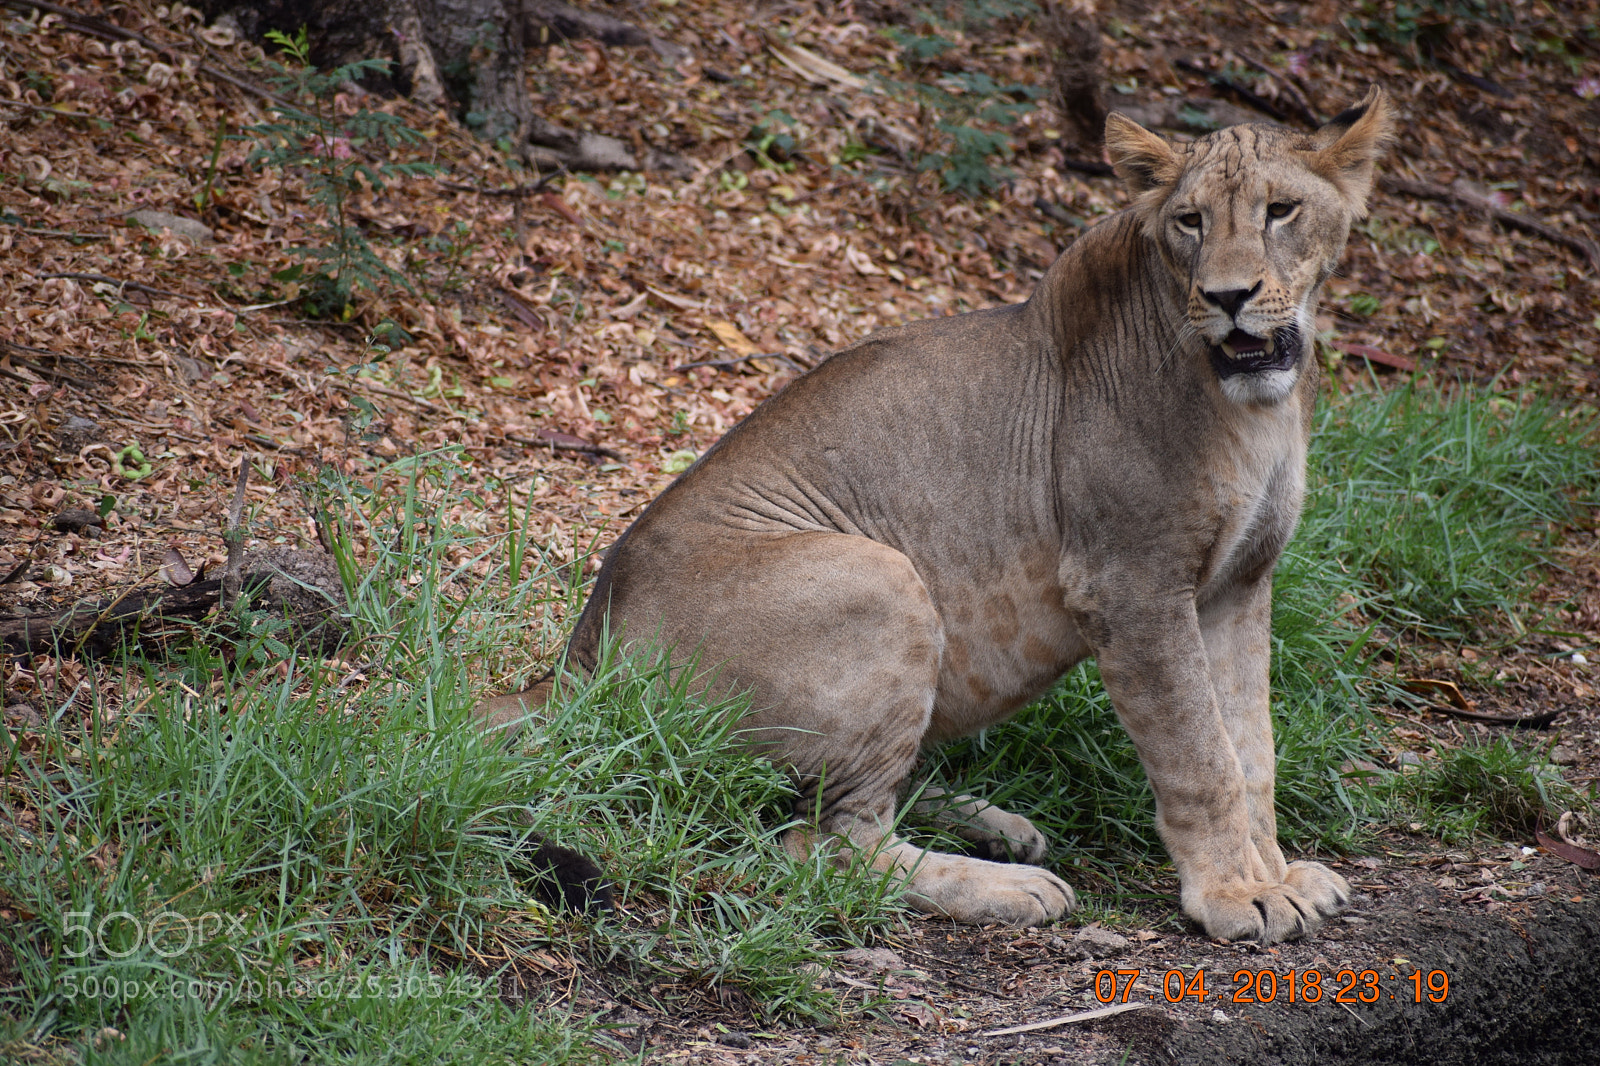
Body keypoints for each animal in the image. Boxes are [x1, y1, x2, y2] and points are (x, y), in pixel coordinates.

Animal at [483, 87, 1394, 943]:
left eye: (1282, 210)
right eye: (1190, 221)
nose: (1229, 296)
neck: (1253, 408)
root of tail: (581, 653)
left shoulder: (1239, 584)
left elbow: (1252, 746)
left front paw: (1277, 872)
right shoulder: (1130, 584)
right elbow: (1200, 752)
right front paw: (1236, 895)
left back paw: (992, 826)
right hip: (881, 576)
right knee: (826, 844)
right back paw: (1009, 886)